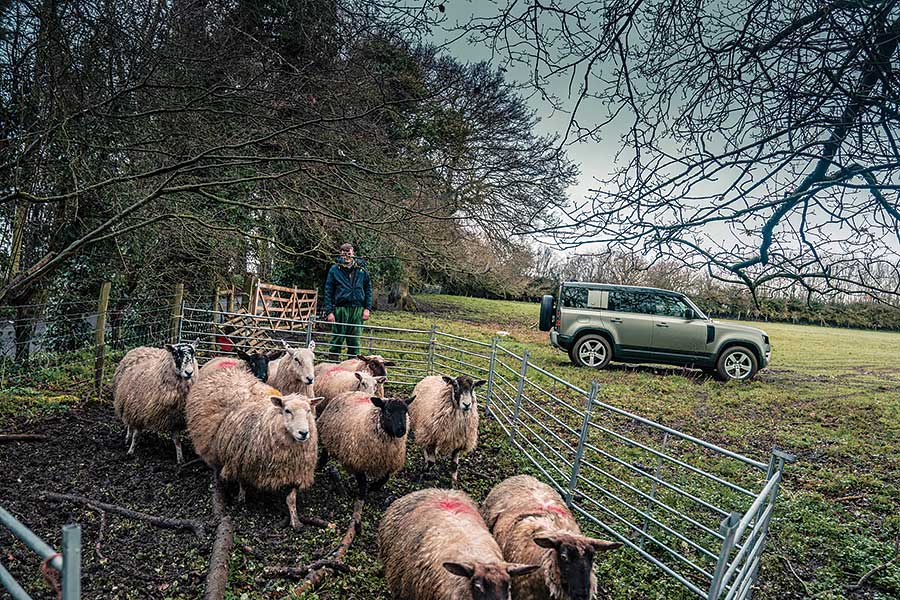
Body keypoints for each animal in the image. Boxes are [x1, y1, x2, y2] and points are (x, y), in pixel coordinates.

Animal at [184, 364, 324, 528]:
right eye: (287, 410)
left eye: (308, 411)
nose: (304, 433)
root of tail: (227, 372)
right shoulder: (239, 459)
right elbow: (242, 481)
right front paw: (241, 498)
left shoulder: (295, 471)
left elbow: (291, 499)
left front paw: (296, 521)